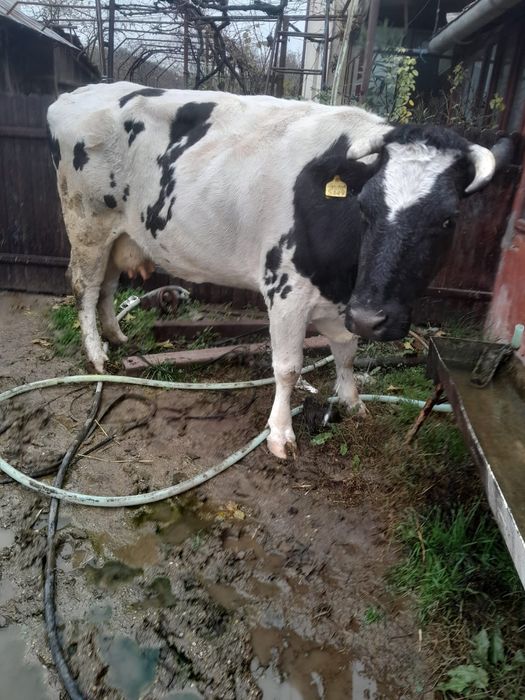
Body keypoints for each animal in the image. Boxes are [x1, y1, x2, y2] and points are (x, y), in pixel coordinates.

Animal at [47, 82, 497, 459]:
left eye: (448, 220)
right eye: (364, 207)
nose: (372, 317)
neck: (344, 278)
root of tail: (73, 95)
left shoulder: (344, 302)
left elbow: (347, 351)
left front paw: (353, 403)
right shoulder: (286, 290)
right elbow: (288, 367)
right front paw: (281, 434)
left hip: (120, 235)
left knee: (107, 287)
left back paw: (116, 336)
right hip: (86, 223)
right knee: (85, 287)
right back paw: (97, 356)